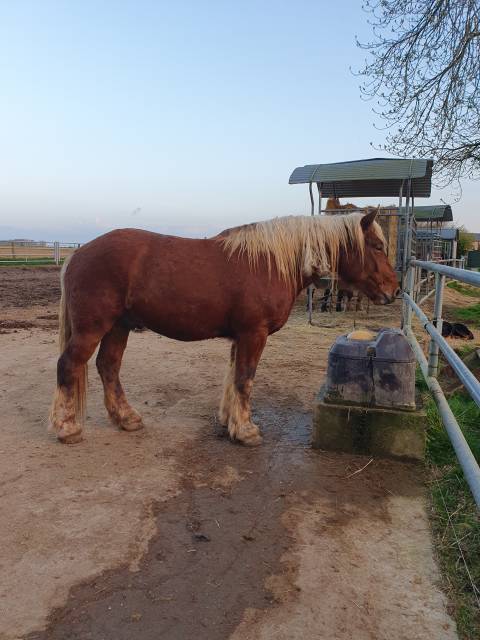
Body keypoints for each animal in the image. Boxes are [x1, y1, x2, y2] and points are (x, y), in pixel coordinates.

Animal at [49, 210, 399, 447]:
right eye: (377, 245)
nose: (393, 291)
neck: (269, 262)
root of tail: (78, 253)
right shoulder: (254, 334)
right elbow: (245, 380)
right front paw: (246, 431)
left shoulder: (241, 337)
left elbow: (234, 378)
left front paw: (230, 422)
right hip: (93, 329)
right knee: (69, 365)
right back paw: (67, 428)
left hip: (118, 327)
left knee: (108, 367)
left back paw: (127, 419)